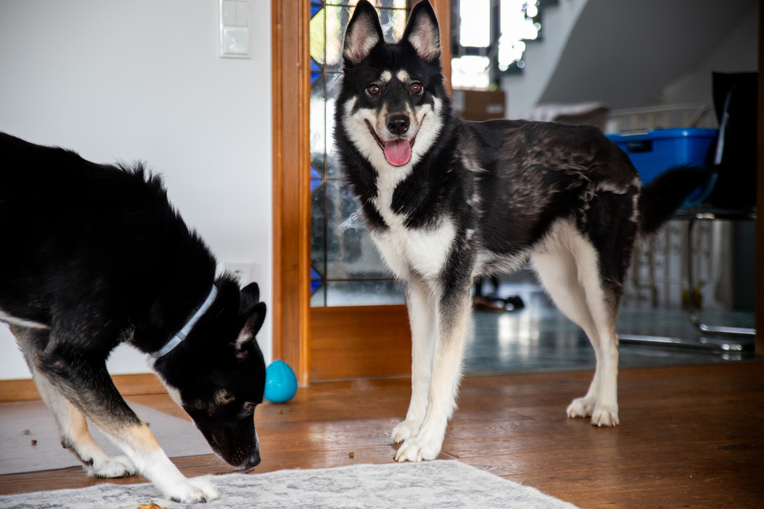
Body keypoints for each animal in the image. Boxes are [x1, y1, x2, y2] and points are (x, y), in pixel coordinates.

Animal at [0, 133, 267, 503]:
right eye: (247, 405)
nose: (256, 461)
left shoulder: (43, 345)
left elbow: (71, 413)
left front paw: (97, 460)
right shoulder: (71, 357)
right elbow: (138, 430)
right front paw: (179, 485)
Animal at [335, 0, 706, 463]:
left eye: (416, 87)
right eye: (373, 90)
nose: (400, 123)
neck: (423, 171)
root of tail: (617, 148)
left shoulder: (454, 289)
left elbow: (441, 373)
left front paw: (429, 440)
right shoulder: (418, 289)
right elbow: (420, 368)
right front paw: (412, 425)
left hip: (597, 278)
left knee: (612, 340)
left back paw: (606, 406)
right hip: (564, 287)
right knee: (599, 341)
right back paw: (591, 400)